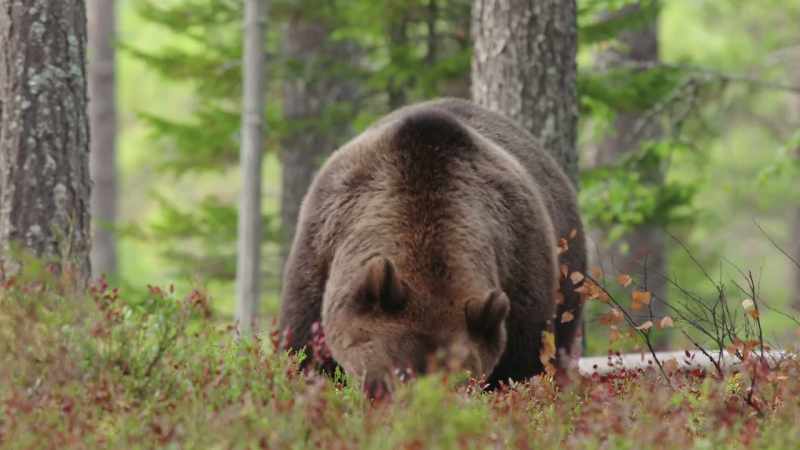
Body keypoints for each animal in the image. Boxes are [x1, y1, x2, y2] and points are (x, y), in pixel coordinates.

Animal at [278, 98, 586, 395]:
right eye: (397, 372)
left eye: (462, 381)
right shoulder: (322, 245)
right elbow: (304, 348)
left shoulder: (522, 269)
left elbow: (522, 366)